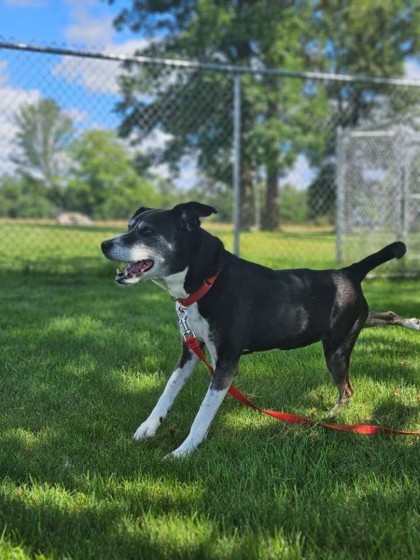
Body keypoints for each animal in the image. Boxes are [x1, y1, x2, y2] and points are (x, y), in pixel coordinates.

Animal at [102, 203, 420, 458]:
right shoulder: (190, 352)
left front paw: (184, 450)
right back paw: (411, 322)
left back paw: (330, 417)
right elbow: (167, 391)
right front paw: (148, 428)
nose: (104, 244)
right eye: (130, 226)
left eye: (147, 231)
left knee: (347, 389)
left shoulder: (226, 363)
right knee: (383, 316)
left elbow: (203, 413)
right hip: (352, 325)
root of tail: (348, 272)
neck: (208, 281)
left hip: (337, 349)